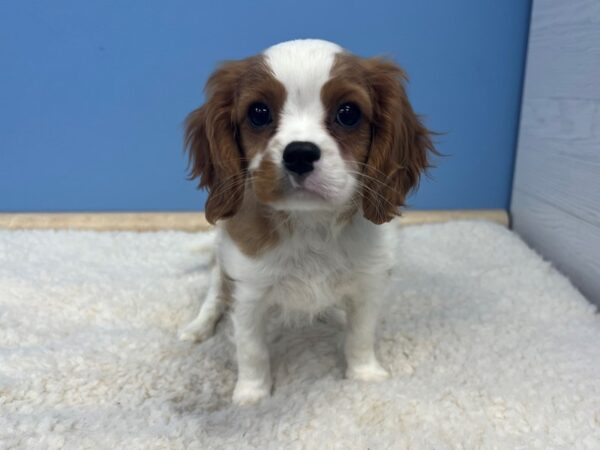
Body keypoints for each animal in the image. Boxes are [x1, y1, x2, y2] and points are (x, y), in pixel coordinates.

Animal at [180, 38, 434, 404]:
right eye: (259, 113)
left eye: (348, 113)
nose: (299, 153)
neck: (310, 223)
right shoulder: (248, 290)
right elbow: (251, 349)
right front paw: (252, 396)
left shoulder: (368, 283)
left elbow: (360, 334)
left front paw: (364, 375)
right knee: (215, 295)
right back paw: (198, 327)